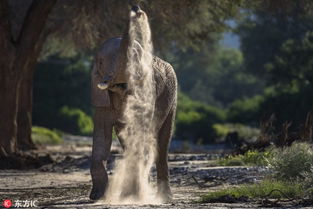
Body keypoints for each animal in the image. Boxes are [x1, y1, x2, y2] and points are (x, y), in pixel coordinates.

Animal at [89, 6, 178, 201]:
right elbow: (101, 136)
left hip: (172, 96)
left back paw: (162, 197)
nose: (136, 8)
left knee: (162, 144)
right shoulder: (101, 100)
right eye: (100, 62)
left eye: (134, 59)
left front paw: (136, 196)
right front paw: (97, 197)